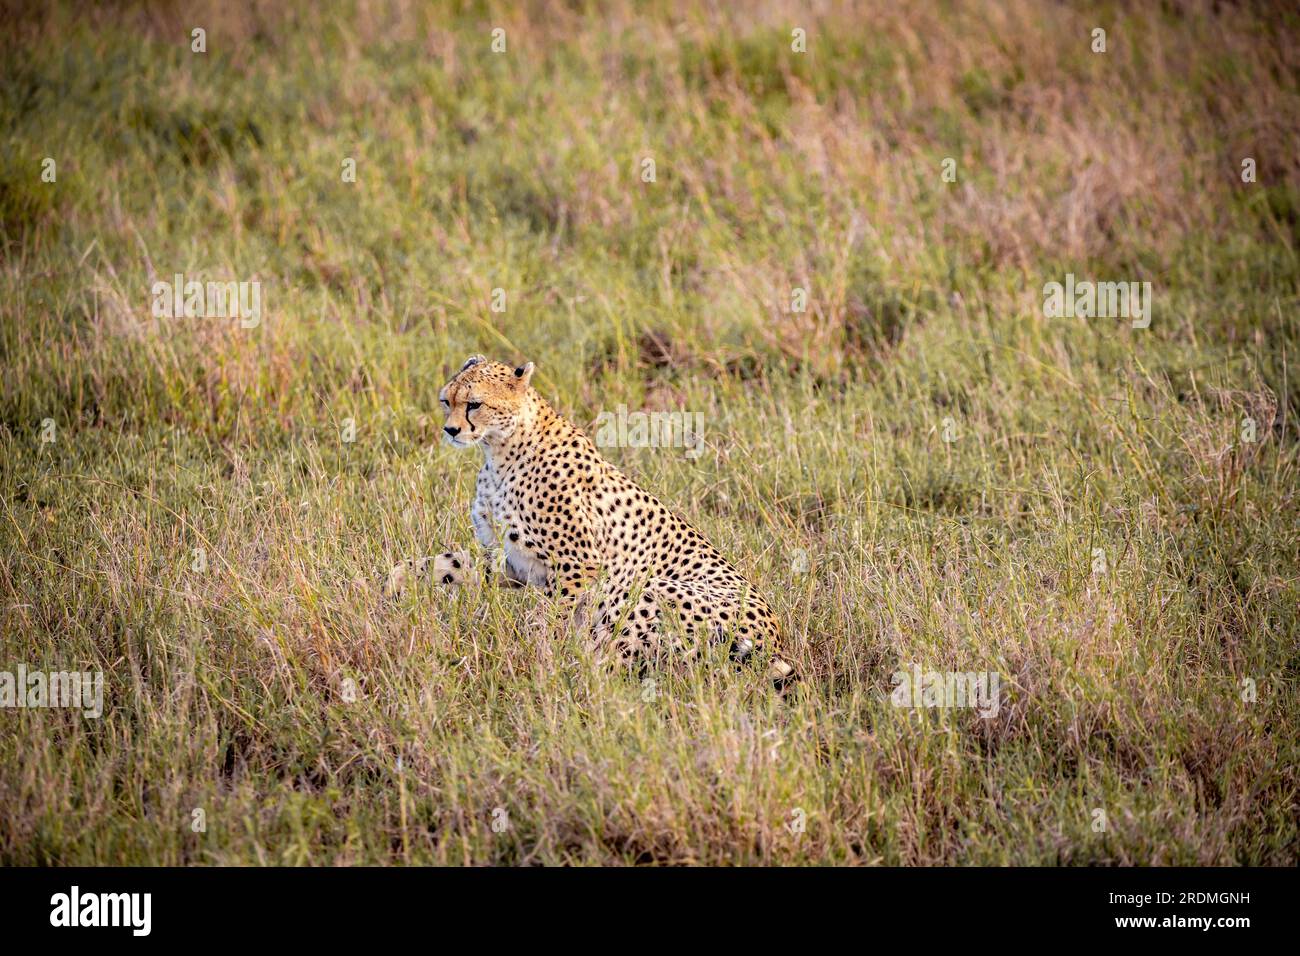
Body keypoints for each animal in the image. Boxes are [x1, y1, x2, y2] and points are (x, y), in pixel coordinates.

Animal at [384, 356, 790, 691]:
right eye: (446, 401)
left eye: (474, 404)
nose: (450, 430)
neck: (502, 449)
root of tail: (777, 641)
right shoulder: (509, 561)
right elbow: (447, 563)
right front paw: (394, 585)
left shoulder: (577, 566)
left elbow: (548, 622)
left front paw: (538, 658)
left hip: (649, 589)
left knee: (608, 659)